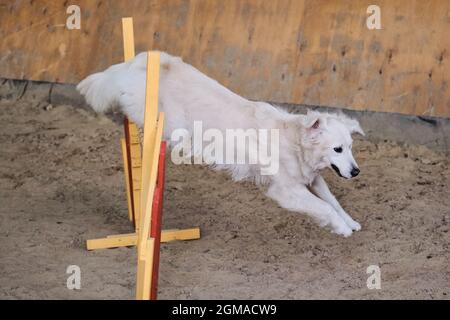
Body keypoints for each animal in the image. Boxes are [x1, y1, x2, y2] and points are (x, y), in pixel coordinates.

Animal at [79, 51, 364, 236]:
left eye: (350, 147)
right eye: (337, 149)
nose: (356, 171)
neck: (294, 142)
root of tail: (142, 59)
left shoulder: (312, 179)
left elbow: (333, 201)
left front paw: (350, 222)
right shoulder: (285, 191)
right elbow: (324, 207)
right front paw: (341, 229)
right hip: (167, 122)